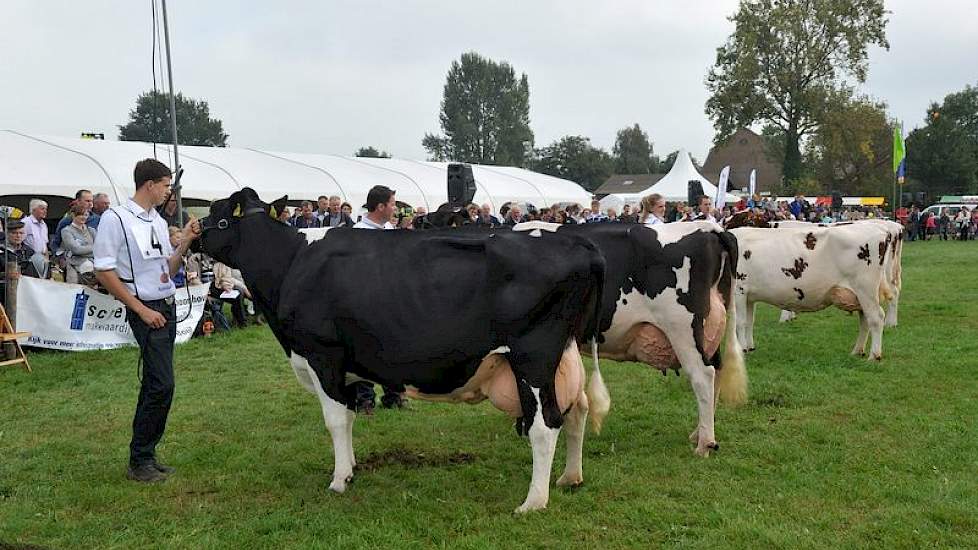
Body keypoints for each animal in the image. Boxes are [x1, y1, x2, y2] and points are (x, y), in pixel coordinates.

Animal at [198, 189, 608, 512]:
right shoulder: (345, 367)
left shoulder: (322, 356)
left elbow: (335, 420)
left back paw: (533, 501)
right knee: (578, 409)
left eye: (216, 217)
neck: (291, 264)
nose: (192, 234)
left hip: (532, 355)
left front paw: (338, 479)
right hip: (563, 352)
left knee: (546, 423)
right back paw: (570, 478)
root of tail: (576, 242)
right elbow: (350, 416)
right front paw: (352, 470)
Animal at [510, 222, 748, 460]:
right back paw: (698, 433)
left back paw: (704, 444)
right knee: (717, 369)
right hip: (709, 331)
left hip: (682, 328)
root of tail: (707, 227)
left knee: (702, 375)